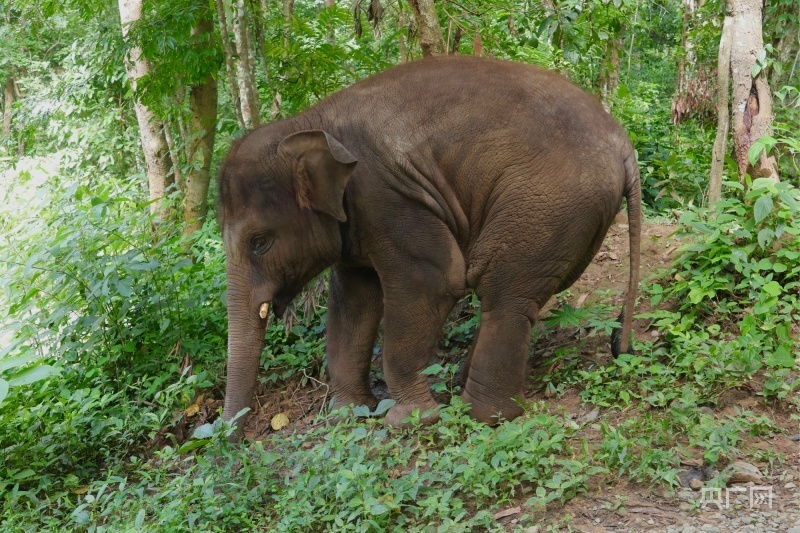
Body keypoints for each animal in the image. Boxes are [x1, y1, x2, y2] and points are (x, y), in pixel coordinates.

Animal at [216, 55, 640, 432]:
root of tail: (625, 146)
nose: (231, 437)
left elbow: (433, 283)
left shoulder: (388, 197)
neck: (308, 123)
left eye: (259, 242)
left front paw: (409, 421)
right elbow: (354, 301)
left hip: (545, 202)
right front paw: (347, 416)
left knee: (503, 290)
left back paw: (482, 416)